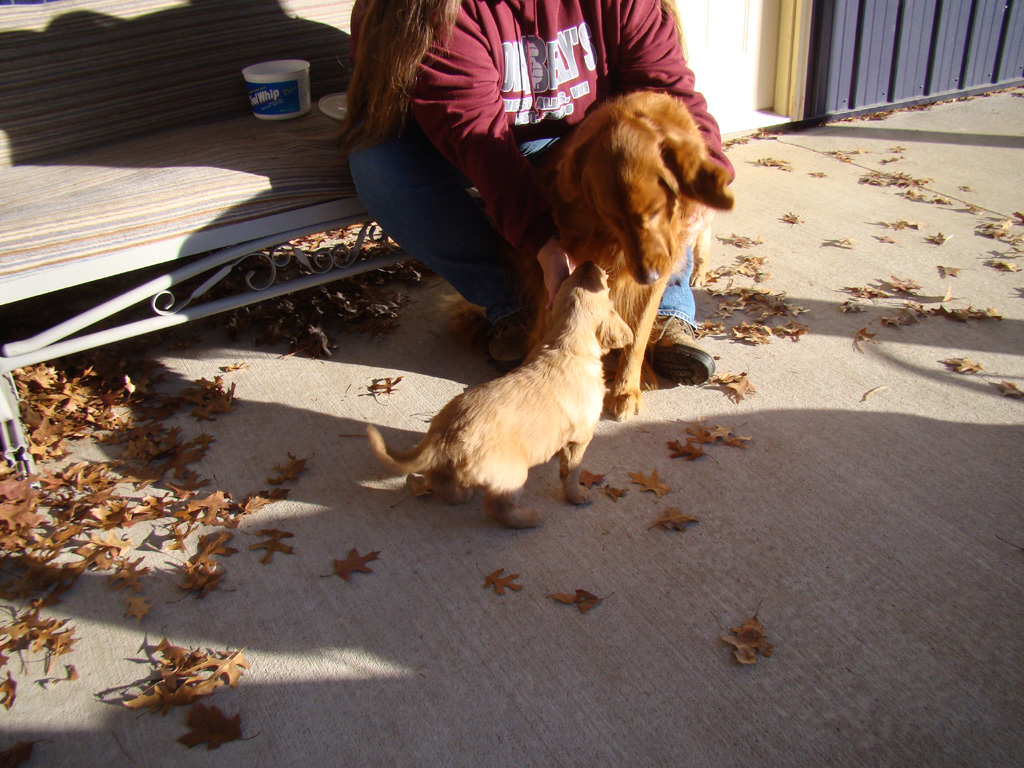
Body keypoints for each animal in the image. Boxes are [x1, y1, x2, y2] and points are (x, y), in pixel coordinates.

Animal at [364, 262, 626, 528]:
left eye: (575, 276)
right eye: (603, 285)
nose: (588, 263)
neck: (566, 344)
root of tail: (444, 437)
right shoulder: (580, 438)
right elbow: (571, 472)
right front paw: (578, 495)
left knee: (437, 479)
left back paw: (461, 495)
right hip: (512, 473)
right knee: (496, 508)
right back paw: (530, 517)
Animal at [528, 93, 737, 423]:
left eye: (654, 211)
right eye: (612, 217)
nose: (645, 275)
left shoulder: (658, 272)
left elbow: (638, 334)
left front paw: (627, 388)